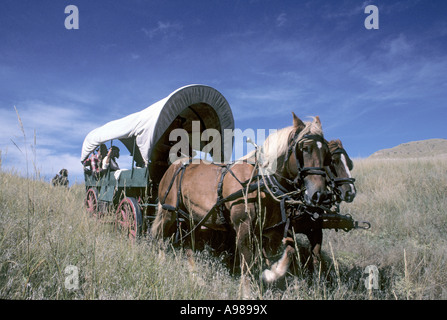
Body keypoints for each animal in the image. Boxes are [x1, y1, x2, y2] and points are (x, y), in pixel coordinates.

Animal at [152, 113, 330, 298]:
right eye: (305, 148)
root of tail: (175, 166)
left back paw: (196, 278)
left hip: (192, 219)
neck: (259, 181)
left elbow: (289, 249)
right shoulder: (244, 226)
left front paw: (270, 273)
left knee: (189, 246)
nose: (320, 195)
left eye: (326, 153)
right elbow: (247, 261)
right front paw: (247, 293)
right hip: (169, 212)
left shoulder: (269, 229)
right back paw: (161, 264)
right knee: (160, 238)